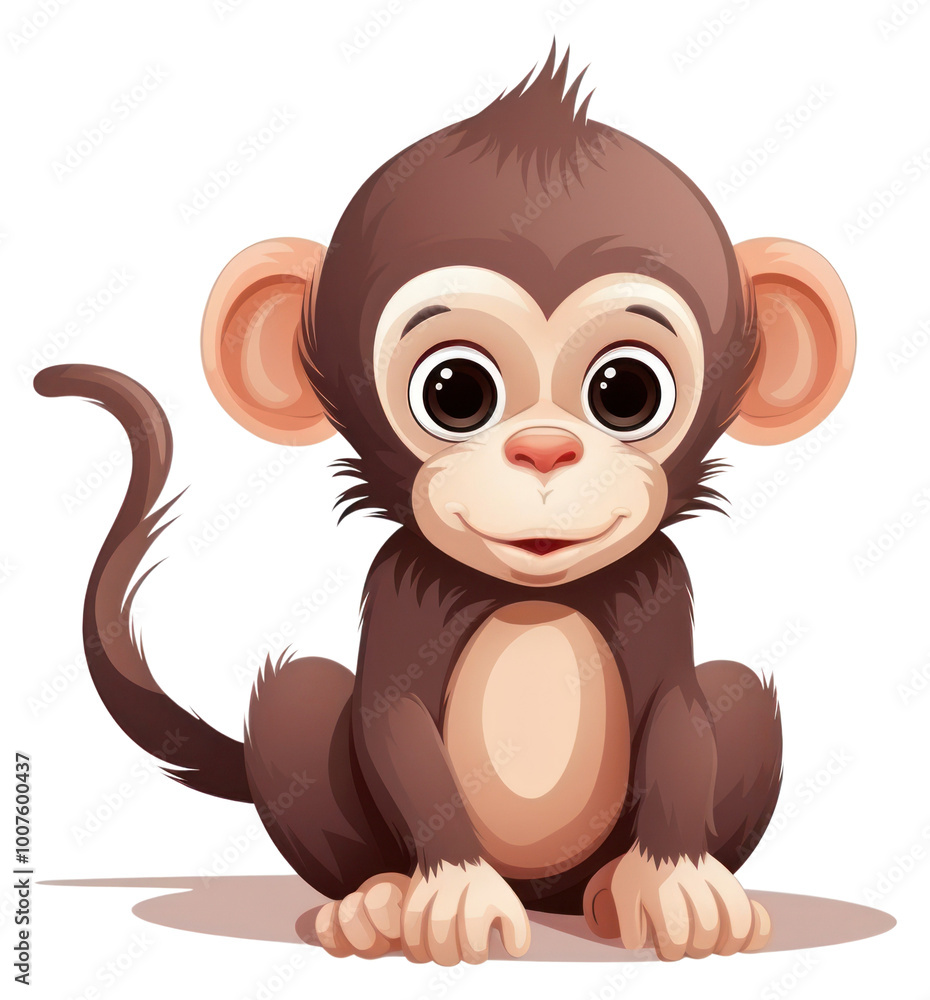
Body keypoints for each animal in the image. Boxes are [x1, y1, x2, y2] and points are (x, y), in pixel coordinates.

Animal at [34, 47, 855, 965]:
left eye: (626, 391)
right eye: (456, 390)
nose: (545, 451)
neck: (534, 596)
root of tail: (547, 897)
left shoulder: (659, 583)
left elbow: (681, 716)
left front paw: (675, 882)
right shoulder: (404, 582)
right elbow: (393, 724)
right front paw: (453, 890)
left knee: (735, 691)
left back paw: (611, 886)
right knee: (299, 702)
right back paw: (374, 898)